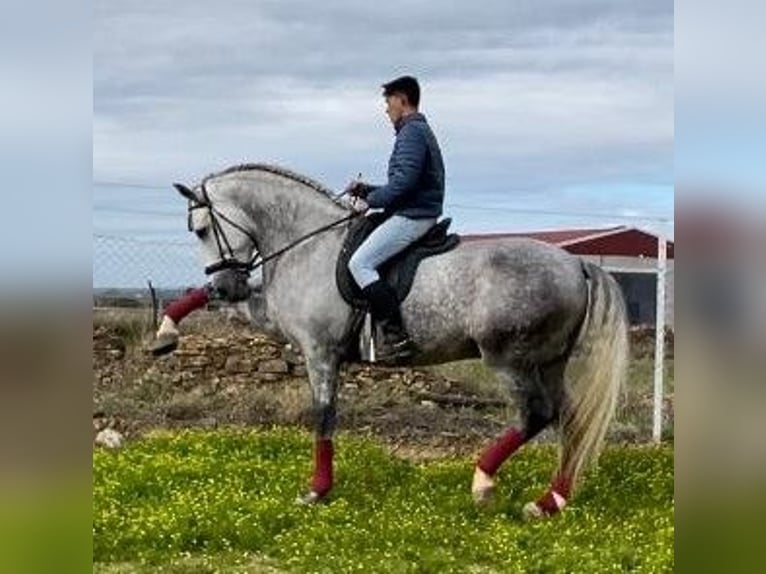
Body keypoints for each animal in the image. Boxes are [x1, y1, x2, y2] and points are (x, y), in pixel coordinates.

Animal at [176, 164, 632, 520]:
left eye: (201, 230)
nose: (226, 284)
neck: (307, 244)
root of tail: (575, 263)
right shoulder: (281, 325)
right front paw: (170, 329)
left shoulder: (319, 351)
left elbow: (324, 416)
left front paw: (317, 491)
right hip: (550, 360)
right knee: (569, 418)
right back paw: (549, 501)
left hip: (509, 358)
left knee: (537, 414)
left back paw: (483, 482)